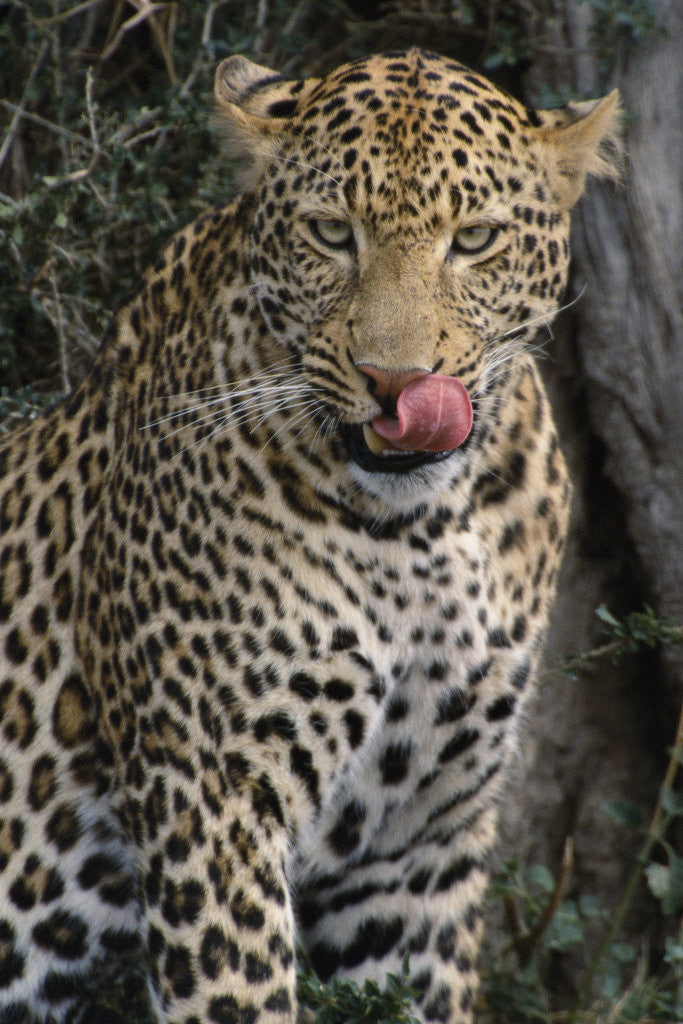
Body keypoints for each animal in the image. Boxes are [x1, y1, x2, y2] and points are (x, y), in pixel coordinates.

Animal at [0, 47, 621, 1024]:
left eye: (473, 240)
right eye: (331, 234)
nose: (395, 381)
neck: (422, 532)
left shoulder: (415, 849)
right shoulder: (209, 801)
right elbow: (238, 991)